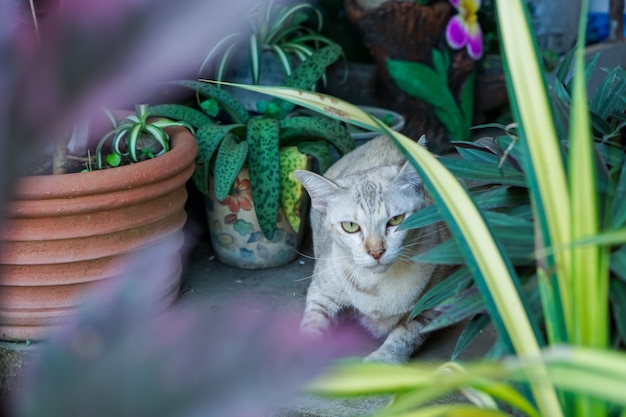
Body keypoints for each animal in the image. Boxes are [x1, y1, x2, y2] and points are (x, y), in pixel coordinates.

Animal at [292, 135, 448, 362]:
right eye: (350, 226)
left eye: (396, 220)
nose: (376, 252)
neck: (377, 286)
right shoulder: (320, 294)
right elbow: (312, 325)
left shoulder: (433, 304)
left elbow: (403, 337)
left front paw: (380, 361)